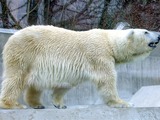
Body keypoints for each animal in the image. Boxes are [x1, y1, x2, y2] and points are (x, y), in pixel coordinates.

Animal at [0, 25, 160, 109]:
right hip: (24, 53)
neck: (108, 41)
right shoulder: (99, 54)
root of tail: (12, 37)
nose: (158, 35)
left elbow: (65, 84)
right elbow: (107, 80)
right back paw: (12, 104)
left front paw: (59, 104)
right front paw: (124, 103)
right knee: (15, 78)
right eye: (146, 31)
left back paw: (37, 104)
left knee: (35, 84)